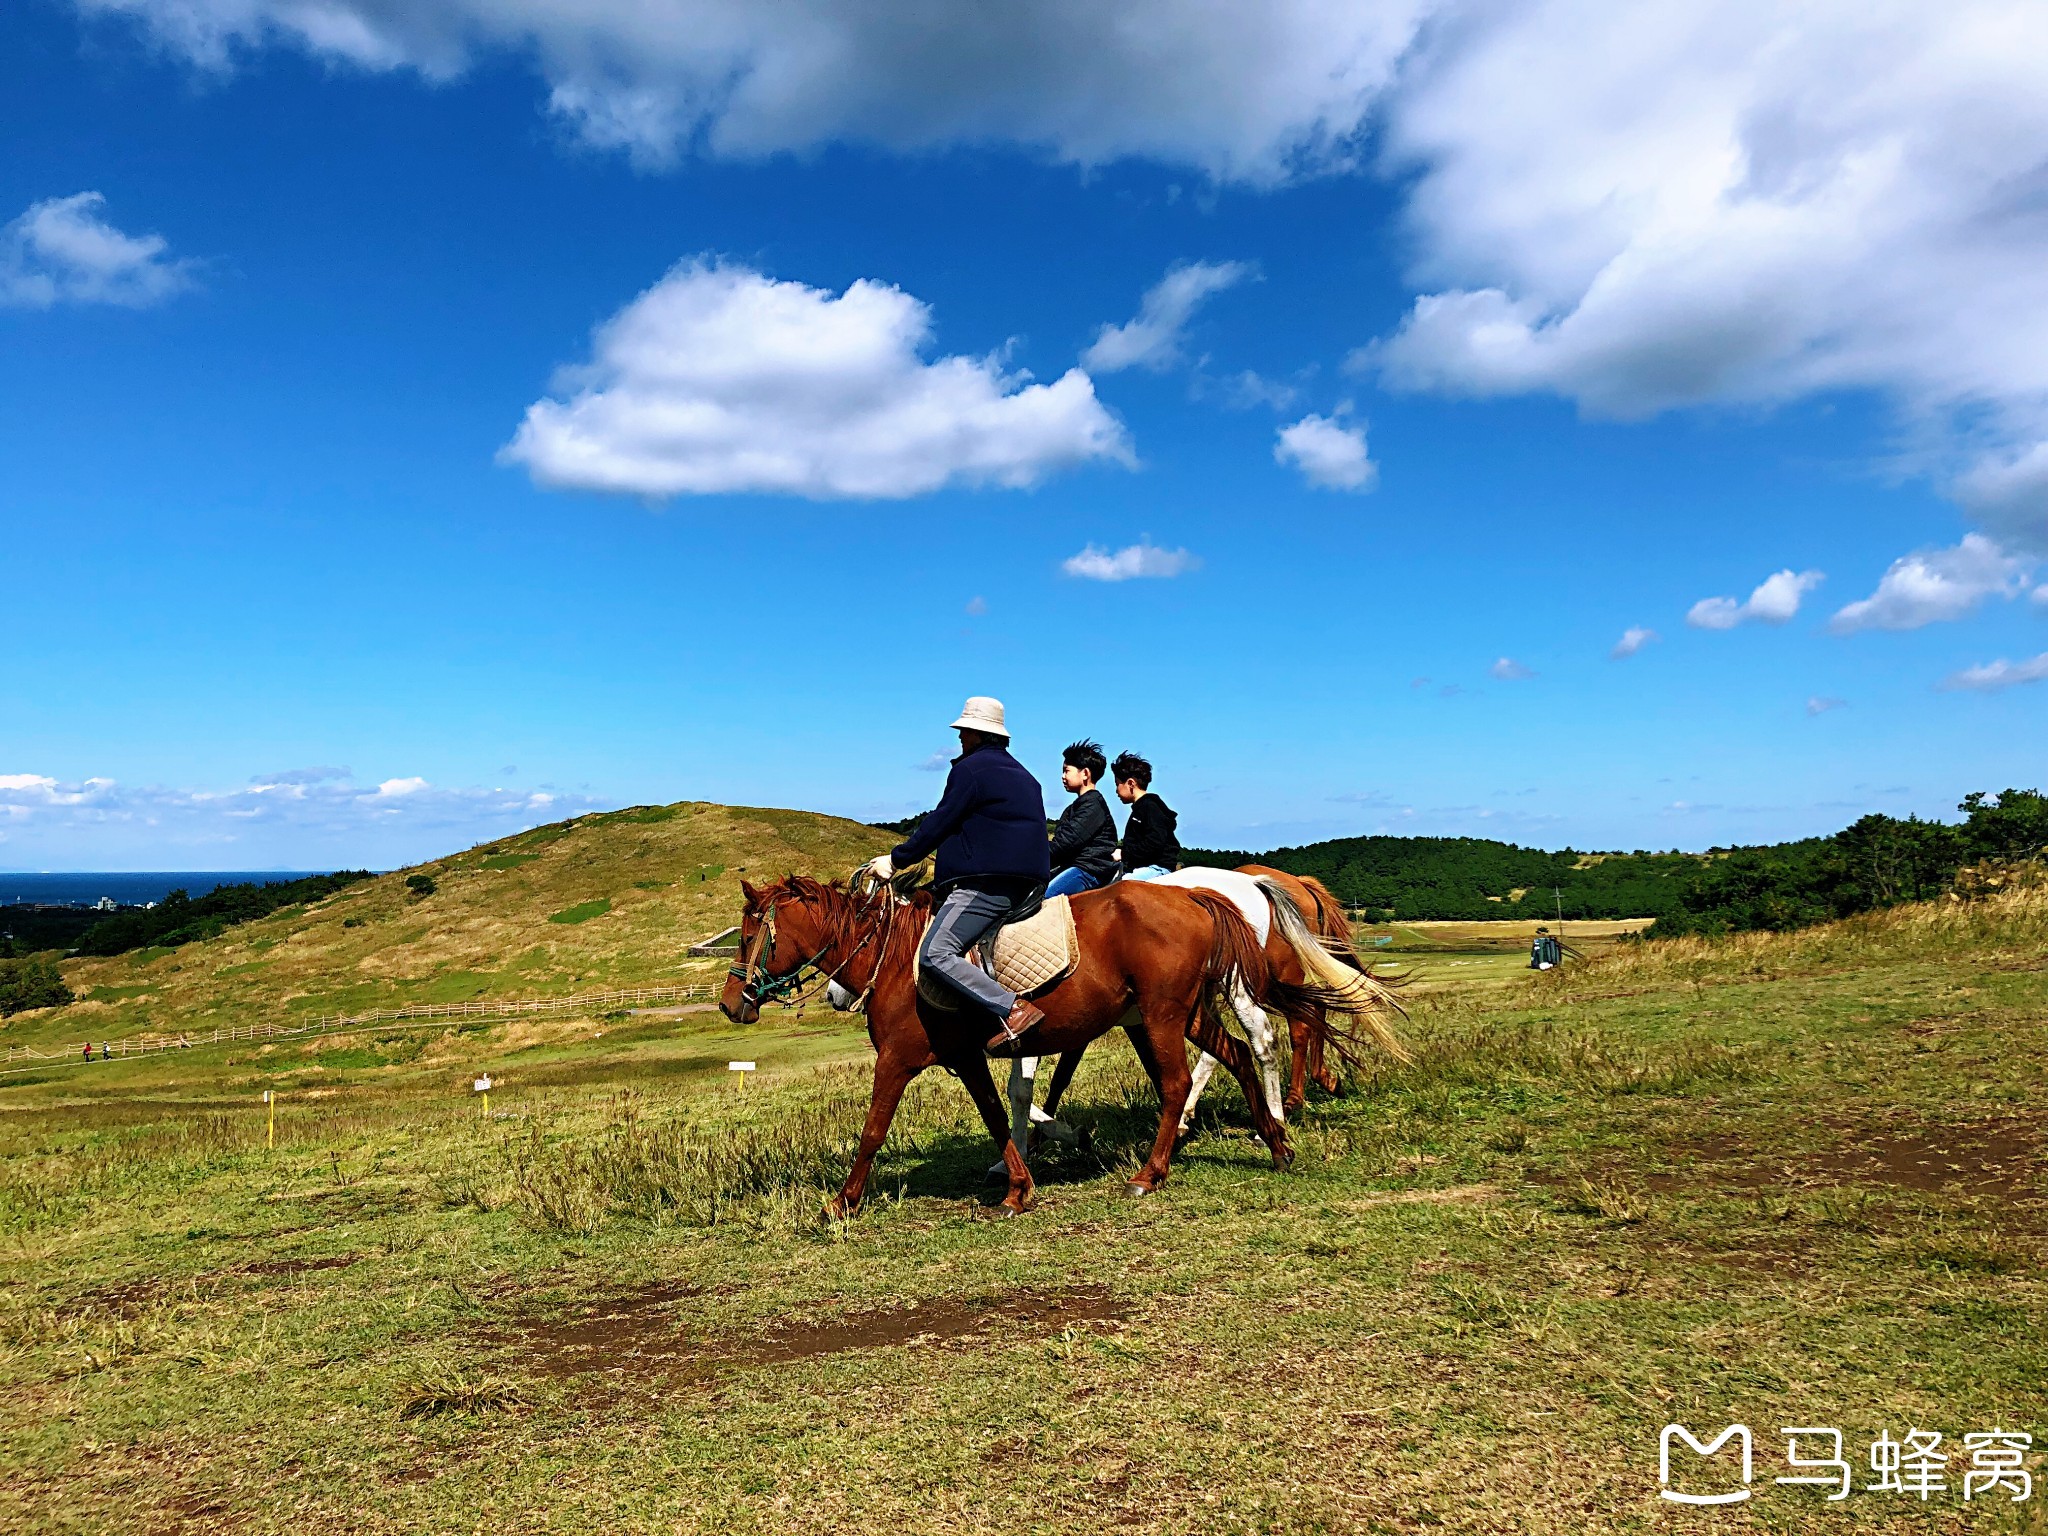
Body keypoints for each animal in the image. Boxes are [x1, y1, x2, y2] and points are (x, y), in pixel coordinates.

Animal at [720, 876, 1294, 1212]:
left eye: (747, 938)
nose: (729, 1004)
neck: (894, 957)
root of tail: (1189, 894)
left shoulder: (897, 1061)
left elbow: (872, 1132)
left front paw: (842, 1202)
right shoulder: (967, 1058)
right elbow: (997, 1116)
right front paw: (1019, 1186)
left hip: (1161, 1016)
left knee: (1178, 1082)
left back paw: (1150, 1173)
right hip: (1188, 1014)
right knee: (1239, 1055)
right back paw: (1277, 1143)